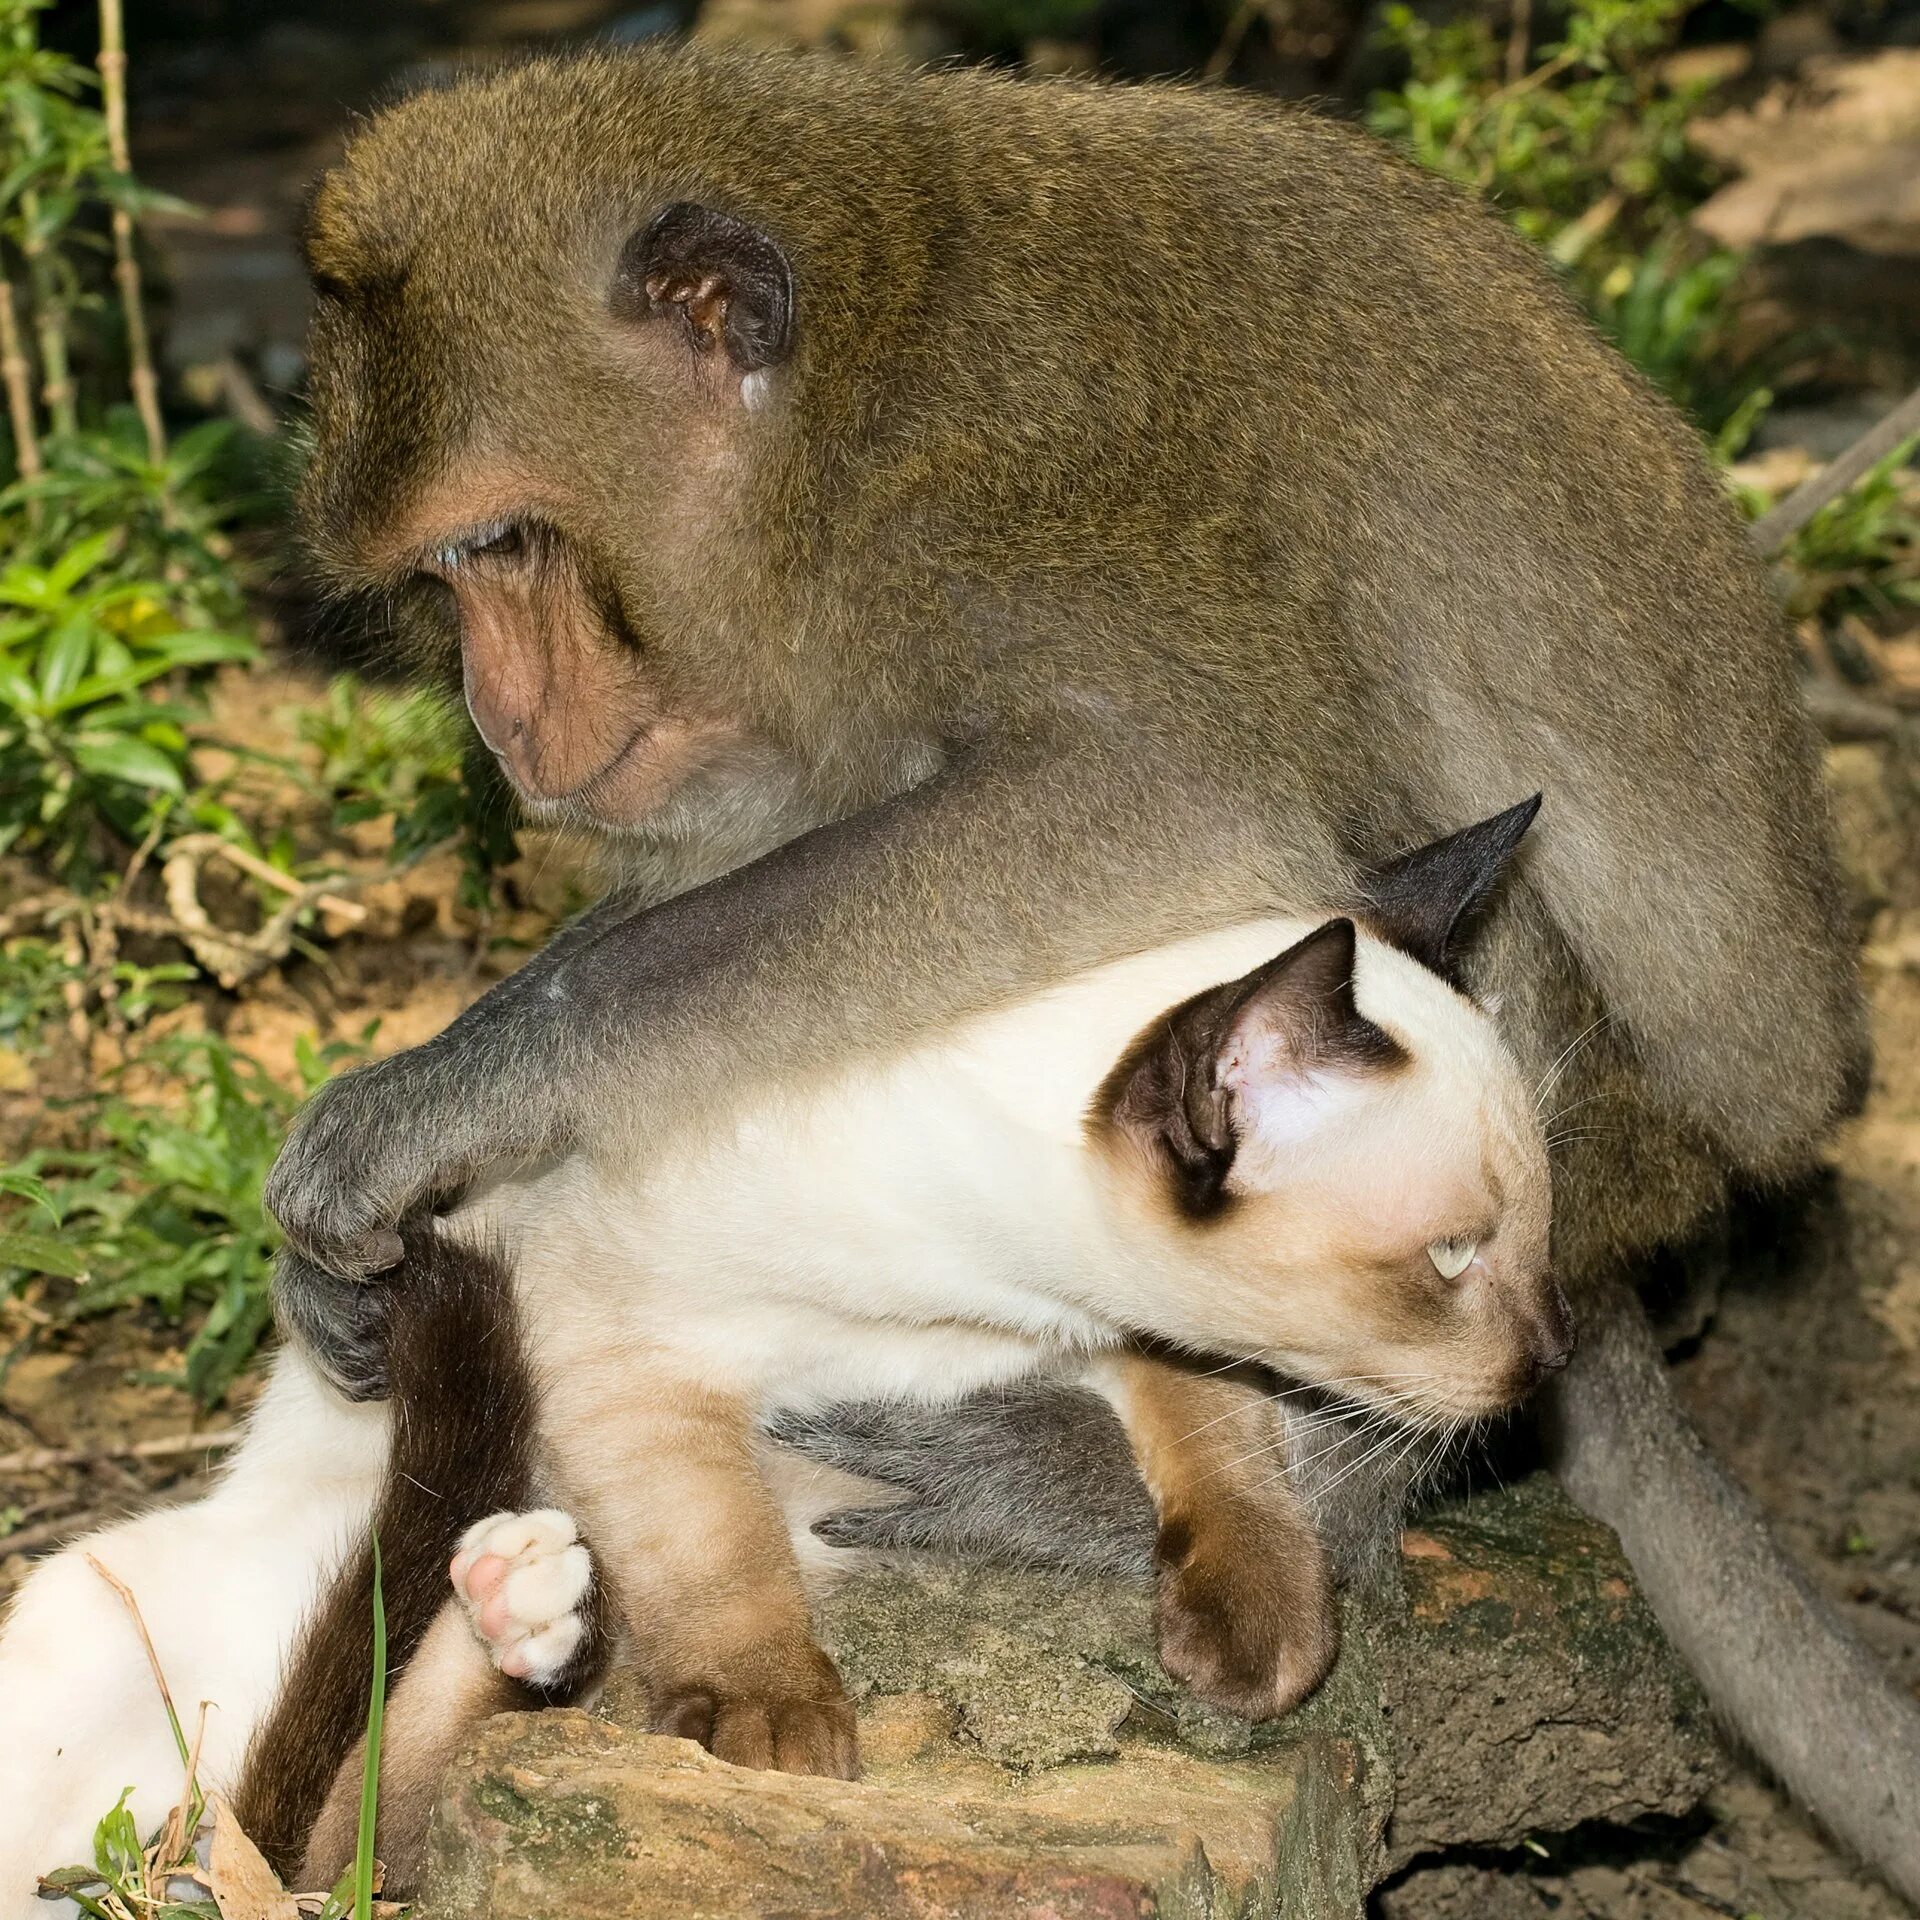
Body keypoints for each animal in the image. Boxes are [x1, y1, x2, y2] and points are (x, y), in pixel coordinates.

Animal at [0, 794, 1574, 1904]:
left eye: (1530, 1236)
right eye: (1454, 1258)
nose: (1550, 1365)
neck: (998, 1301)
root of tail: (161, 1844)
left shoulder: (1137, 1336)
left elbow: (1222, 1440)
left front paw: (1255, 1636)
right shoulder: (610, 1341)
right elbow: (717, 1540)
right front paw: (775, 1722)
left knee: (367, 1815)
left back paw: (523, 1609)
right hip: (96, 1624)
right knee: (328, 1828)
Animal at [251, 45, 1904, 1904]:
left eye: (513, 546)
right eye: (440, 579)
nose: (500, 717)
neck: (840, 416)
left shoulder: (984, 525)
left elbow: (1169, 791)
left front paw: (446, 1102)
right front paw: (364, 1263)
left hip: (1594, 1159)